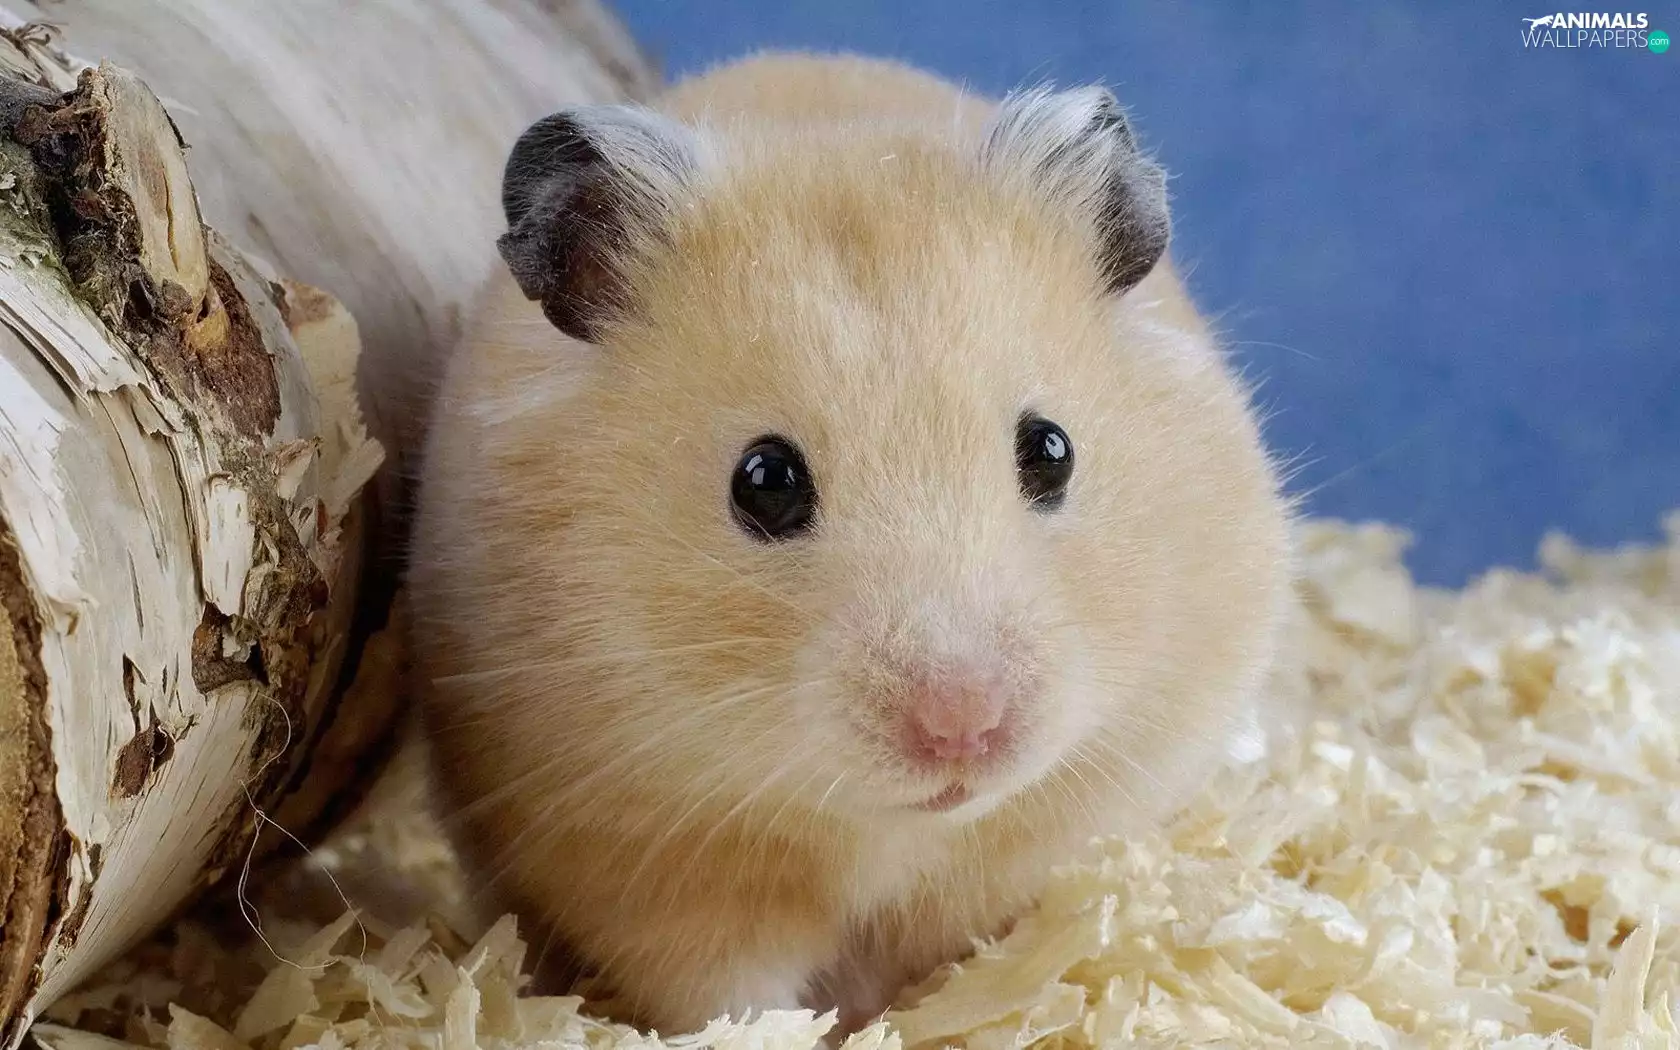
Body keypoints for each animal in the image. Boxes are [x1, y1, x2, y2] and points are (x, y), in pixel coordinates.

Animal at [407, 51, 1294, 1037]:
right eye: (764, 481)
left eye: (1051, 450)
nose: (963, 731)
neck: (890, 826)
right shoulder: (645, 860)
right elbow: (729, 991)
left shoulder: (1055, 828)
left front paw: (909, 1018)